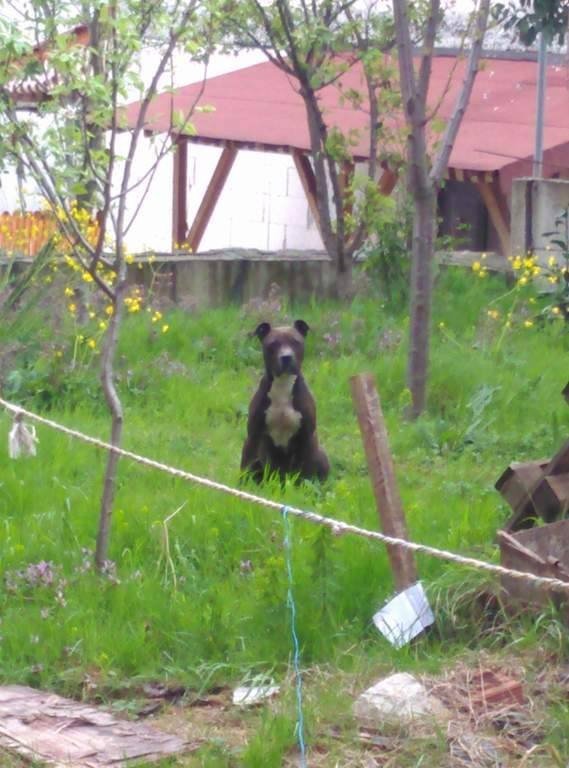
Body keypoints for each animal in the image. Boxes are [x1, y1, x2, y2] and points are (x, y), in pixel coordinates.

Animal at [240, 320, 328, 484]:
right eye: (273, 344)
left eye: (296, 342)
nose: (286, 357)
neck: (283, 384)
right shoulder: (253, 435)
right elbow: (246, 464)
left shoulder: (306, 437)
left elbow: (305, 470)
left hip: (321, 455)